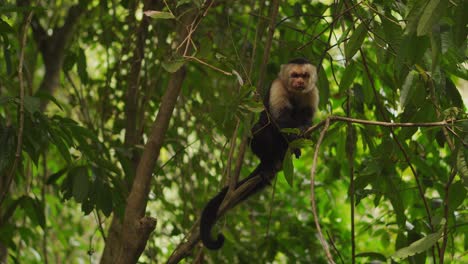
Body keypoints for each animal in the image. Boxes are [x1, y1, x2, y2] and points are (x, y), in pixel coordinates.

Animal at [199, 57, 320, 250]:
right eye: (294, 75)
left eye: (305, 75)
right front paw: (295, 136)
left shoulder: (312, 92)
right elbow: (280, 119)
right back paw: (267, 165)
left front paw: (304, 130)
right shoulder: (278, 86)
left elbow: (307, 118)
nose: (300, 82)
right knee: (259, 128)